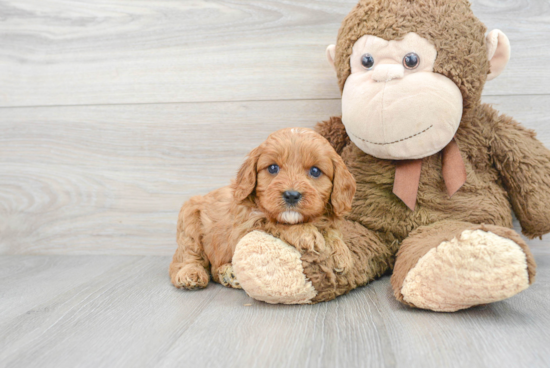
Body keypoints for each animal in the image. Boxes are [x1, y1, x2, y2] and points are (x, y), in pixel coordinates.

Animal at [171, 128, 358, 292]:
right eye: (273, 168)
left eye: (315, 171)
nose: (291, 195)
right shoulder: (245, 227)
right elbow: (273, 223)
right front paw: (305, 233)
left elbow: (332, 231)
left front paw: (341, 253)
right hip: (189, 221)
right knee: (187, 257)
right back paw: (190, 274)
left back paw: (229, 274)